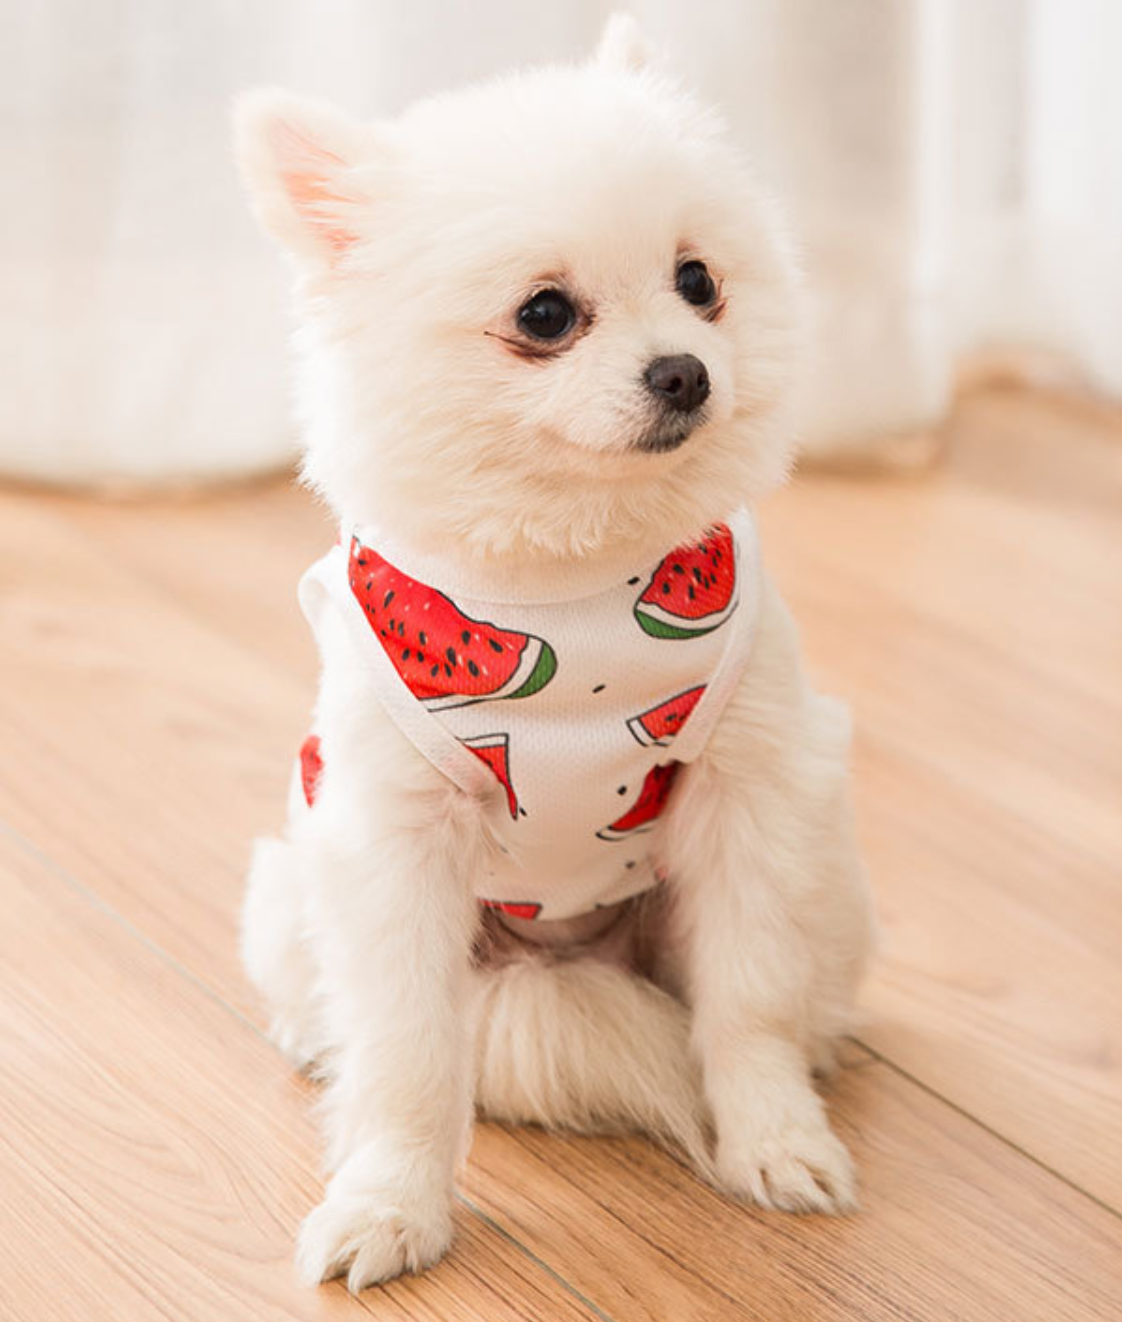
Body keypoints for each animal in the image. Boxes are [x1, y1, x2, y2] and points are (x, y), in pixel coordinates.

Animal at [232, 10, 872, 1290]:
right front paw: (390, 1203)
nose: (685, 369)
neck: (578, 583)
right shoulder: (392, 843)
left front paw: (778, 1141)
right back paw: (310, 1033)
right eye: (544, 315)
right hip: (291, 884)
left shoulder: (747, 799)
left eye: (698, 282)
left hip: (824, 859)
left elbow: (749, 1002)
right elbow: (409, 1054)